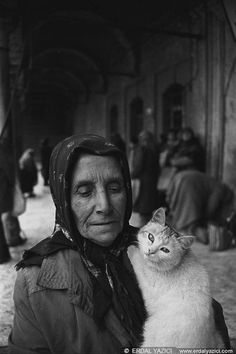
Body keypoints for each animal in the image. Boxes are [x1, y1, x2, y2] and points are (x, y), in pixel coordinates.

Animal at [128, 207, 224, 348]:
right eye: (151, 237)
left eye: (165, 250)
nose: (150, 251)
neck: (180, 261)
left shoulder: (150, 283)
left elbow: (139, 262)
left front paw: (131, 250)